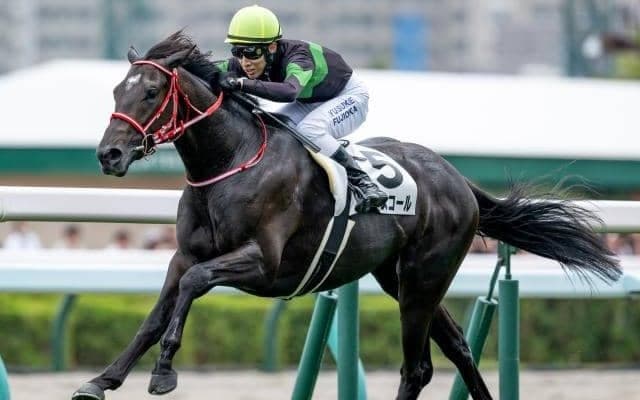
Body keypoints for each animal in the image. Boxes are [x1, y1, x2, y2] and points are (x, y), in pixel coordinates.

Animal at [73, 32, 620, 400]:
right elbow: (156, 312)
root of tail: (457, 179)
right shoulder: (183, 256)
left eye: (149, 93)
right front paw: (102, 379)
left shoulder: (263, 263)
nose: (109, 155)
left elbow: (193, 287)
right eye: (117, 92)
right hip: (399, 277)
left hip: (424, 277)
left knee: (417, 366)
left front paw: (164, 371)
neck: (232, 160)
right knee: (457, 348)